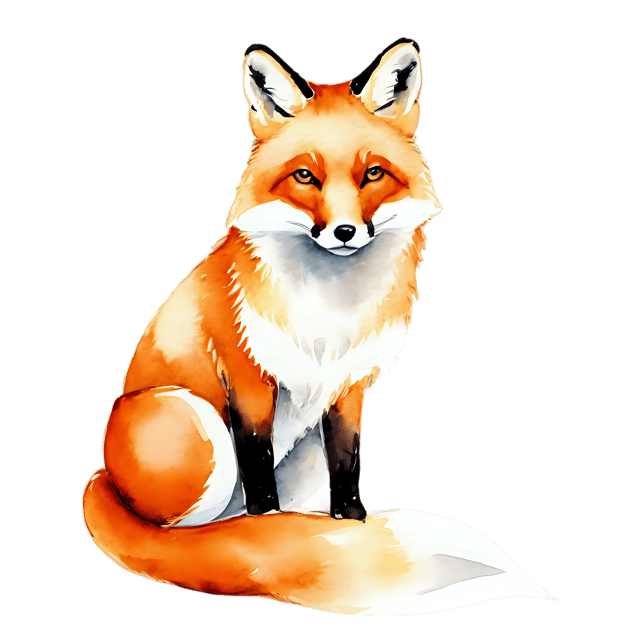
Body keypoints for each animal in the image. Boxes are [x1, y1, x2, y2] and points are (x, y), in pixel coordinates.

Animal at [82, 38, 556, 615]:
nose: (345, 231)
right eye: (305, 176)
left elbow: (349, 462)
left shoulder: (348, 383)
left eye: (372, 174)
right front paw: (271, 530)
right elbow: (259, 471)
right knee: (190, 533)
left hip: (302, 453)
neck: (329, 308)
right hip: (191, 418)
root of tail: (101, 478)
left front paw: (350, 522)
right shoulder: (248, 379)